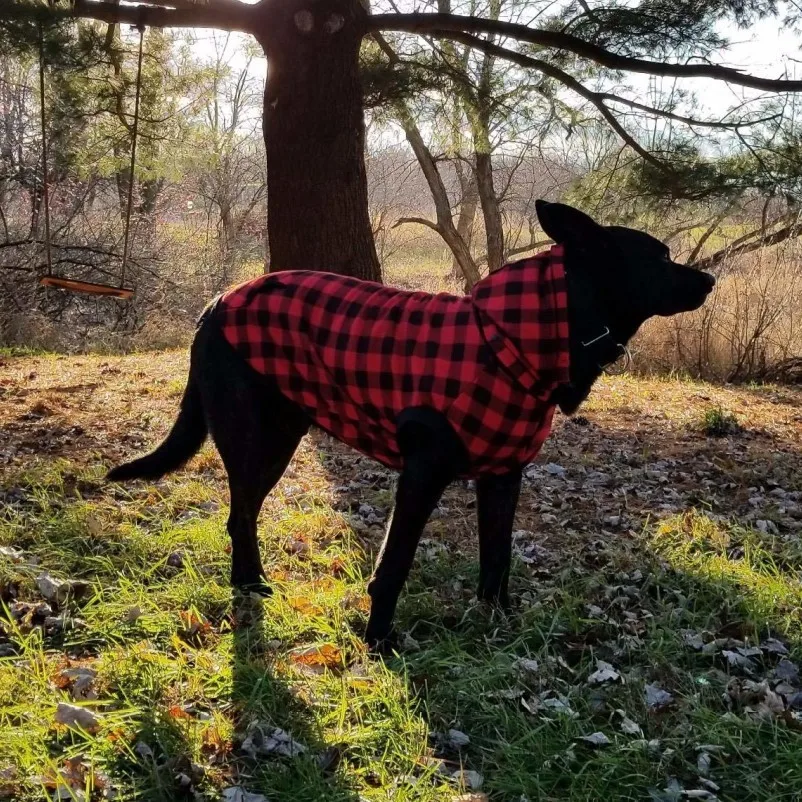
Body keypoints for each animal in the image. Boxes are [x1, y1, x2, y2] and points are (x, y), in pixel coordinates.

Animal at [106, 200, 712, 644]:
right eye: (658, 258)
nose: (708, 281)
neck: (521, 336)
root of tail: (216, 304)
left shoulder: (503, 476)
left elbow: (497, 561)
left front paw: (499, 631)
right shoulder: (422, 476)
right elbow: (394, 563)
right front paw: (378, 643)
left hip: (283, 436)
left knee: (244, 515)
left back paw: (251, 586)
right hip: (252, 437)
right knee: (239, 516)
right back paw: (250, 586)